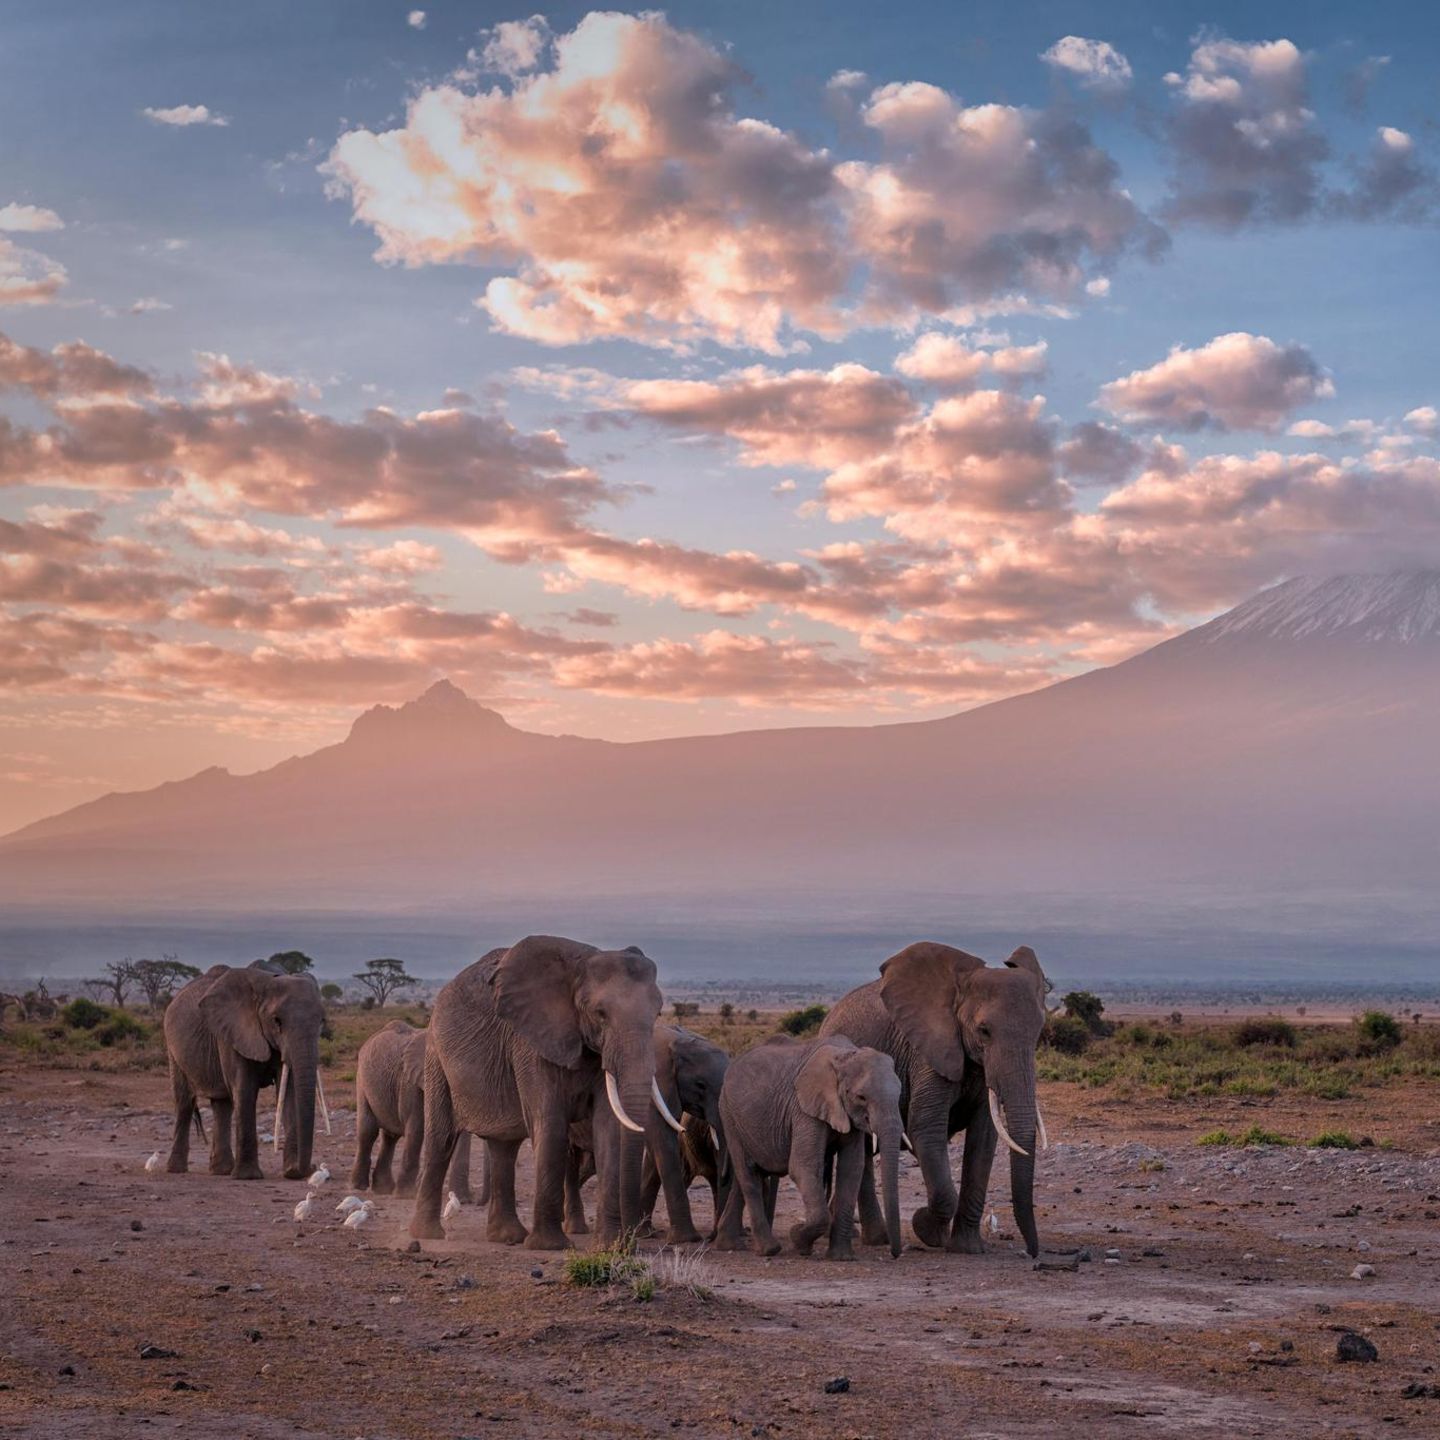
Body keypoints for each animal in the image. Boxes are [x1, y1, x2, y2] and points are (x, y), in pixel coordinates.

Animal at [163, 961, 326, 1175]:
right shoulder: (232, 1033)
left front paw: (291, 1172)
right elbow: (245, 1090)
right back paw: (177, 1169)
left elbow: (289, 1092)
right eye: (277, 1021)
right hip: (173, 1049)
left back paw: (222, 1170)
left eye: (322, 1021)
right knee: (184, 1103)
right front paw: (248, 1176)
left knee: (222, 1105)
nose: (308, 1169)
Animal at [352, 1019, 472, 1198]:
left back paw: (383, 1189)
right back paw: (359, 1187)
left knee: (390, 1138)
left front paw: (461, 1198)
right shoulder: (411, 1084)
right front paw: (406, 1194)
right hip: (362, 1081)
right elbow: (417, 1128)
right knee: (368, 1131)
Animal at [411, 933, 668, 1249]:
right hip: (436, 1056)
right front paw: (550, 1246)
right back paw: (428, 1234)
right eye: (600, 1014)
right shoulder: (530, 1043)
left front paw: (608, 1246)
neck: (581, 965)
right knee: (441, 1138)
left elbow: (607, 1128)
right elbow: (551, 1125)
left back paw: (507, 1237)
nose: (629, 1241)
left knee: (504, 1147)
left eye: (658, 1013)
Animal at [717, 1036, 904, 1261]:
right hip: (728, 1115)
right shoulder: (803, 1109)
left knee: (744, 1177)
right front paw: (798, 1238)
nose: (895, 1254)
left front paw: (841, 1257)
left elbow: (851, 1170)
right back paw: (769, 1250)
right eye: (861, 1097)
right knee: (748, 1175)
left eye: (900, 1093)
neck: (844, 1056)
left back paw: (729, 1245)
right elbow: (802, 1166)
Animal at [823, 938, 1048, 1255]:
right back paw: (878, 1238)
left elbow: (984, 1138)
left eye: (1039, 1032)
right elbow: (926, 1128)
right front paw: (926, 1229)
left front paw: (967, 1248)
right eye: (984, 1031)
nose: (1032, 1251)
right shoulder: (927, 1052)